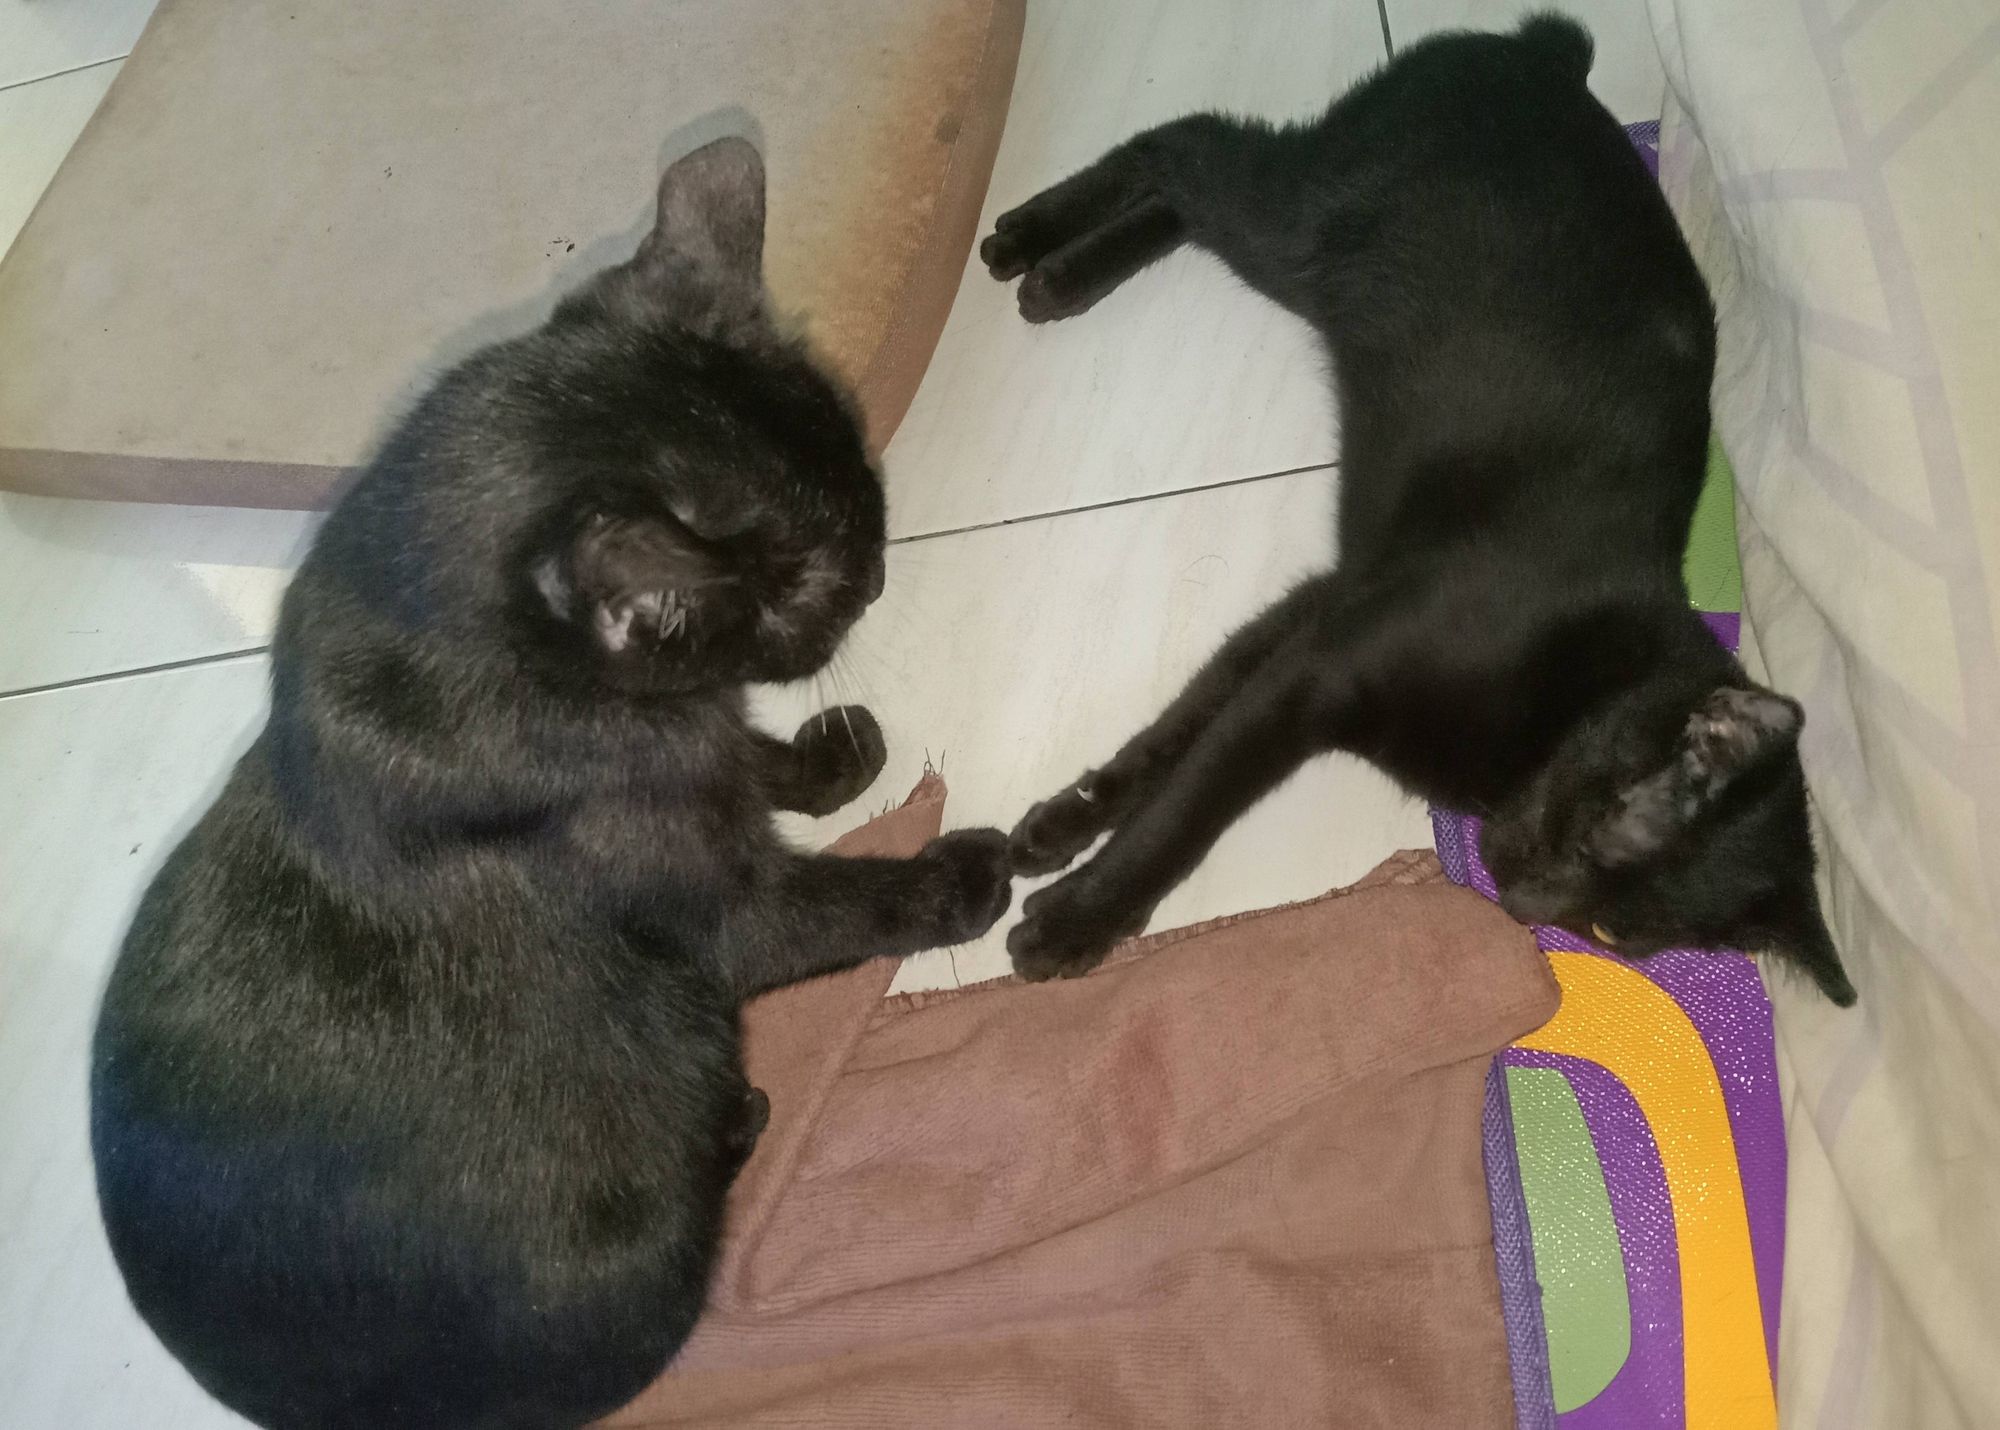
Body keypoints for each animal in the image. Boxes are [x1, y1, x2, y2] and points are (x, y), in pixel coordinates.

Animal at [90, 137, 1016, 1430]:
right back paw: (734, 1114)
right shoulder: (720, 914)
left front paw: (827, 758)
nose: (879, 574)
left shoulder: (681, 738)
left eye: (868, 515)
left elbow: (740, 752)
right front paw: (960, 874)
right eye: (809, 582)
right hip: (641, 1178)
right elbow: (837, 903)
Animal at [984, 16, 1856, 1012]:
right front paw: (1076, 921)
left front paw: (1061, 825)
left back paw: (1055, 268)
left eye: (1615, 932)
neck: (1572, 698)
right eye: (1606, 829)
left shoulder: (1318, 609)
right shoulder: (1315, 676)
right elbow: (1190, 809)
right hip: (1305, 219)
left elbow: (1176, 735)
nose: (1522, 905)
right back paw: (1036, 241)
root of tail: (1551, 60)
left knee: (1186, 192)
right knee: (1183, 143)